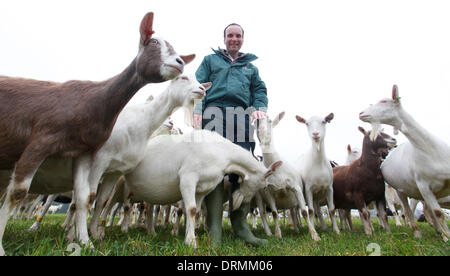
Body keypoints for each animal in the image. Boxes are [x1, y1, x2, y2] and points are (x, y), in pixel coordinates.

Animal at [0, 11, 194, 256]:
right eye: (153, 42)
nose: (180, 62)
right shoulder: (83, 155)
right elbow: (83, 199)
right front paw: (75, 235)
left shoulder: (105, 165)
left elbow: (94, 200)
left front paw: (91, 236)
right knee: (40, 201)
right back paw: (37, 226)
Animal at [256, 111, 320, 240]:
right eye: (257, 122)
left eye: (270, 121)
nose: (261, 130)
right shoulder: (268, 191)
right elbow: (274, 213)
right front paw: (277, 234)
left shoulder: (296, 187)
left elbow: (304, 212)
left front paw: (314, 235)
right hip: (259, 196)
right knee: (262, 213)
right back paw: (268, 232)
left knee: (292, 211)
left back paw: (296, 229)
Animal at [358, 84, 450, 242]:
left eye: (384, 101)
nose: (361, 113)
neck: (430, 149)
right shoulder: (423, 185)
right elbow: (438, 212)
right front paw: (447, 238)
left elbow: (436, 213)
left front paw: (444, 236)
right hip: (402, 191)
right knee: (408, 211)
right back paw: (417, 232)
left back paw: (437, 231)